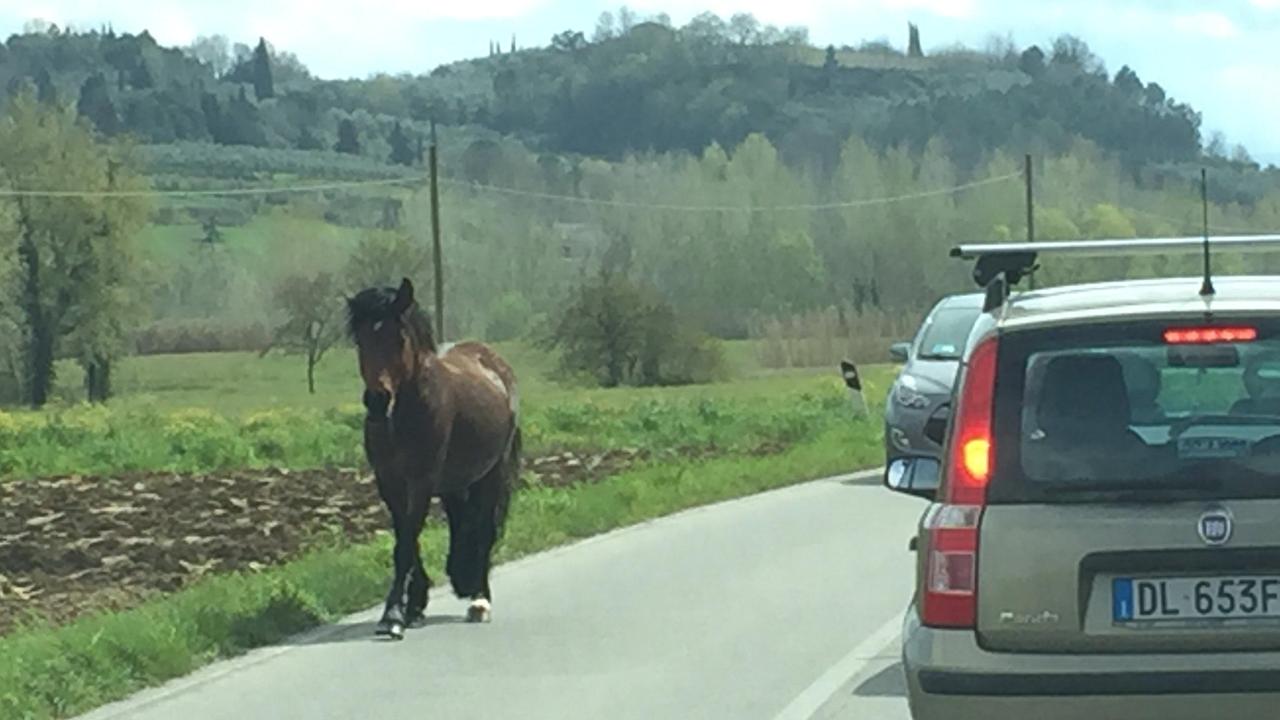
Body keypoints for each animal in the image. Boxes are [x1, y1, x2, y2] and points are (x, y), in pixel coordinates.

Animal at [347, 277, 521, 640]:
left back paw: (479, 600)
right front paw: (414, 605)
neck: (402, 414)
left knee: (484, 529)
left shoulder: (422, 480)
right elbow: (406, 540)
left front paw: (393, 615)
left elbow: (406, 543)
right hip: (456, 481)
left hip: (491, 473)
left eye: (398, 337)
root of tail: (495, 365)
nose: (377, 401)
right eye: (360, 339)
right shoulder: (389, 482)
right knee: (461, 523)